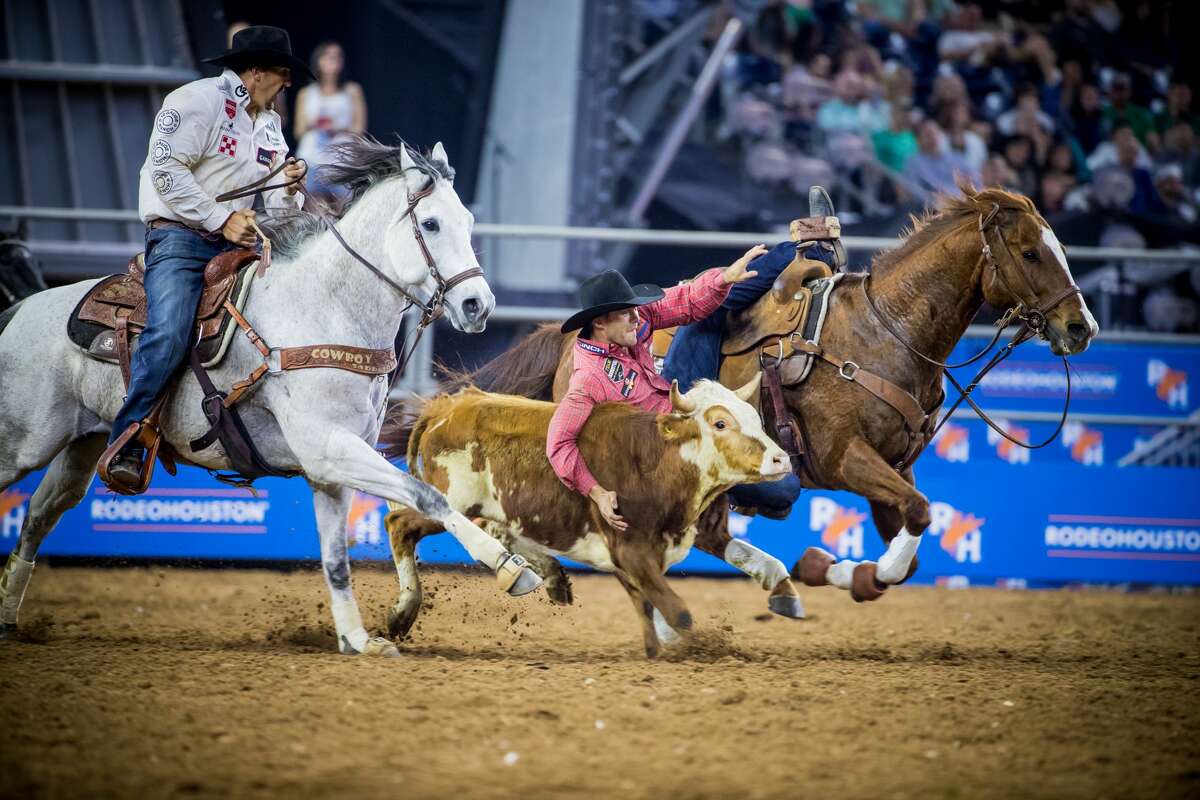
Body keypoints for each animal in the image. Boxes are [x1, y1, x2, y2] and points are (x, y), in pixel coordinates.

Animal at [376, 184, 1099, 609]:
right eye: (1031, 252)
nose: (1081, 327)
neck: (883, 332)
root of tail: (567, 337)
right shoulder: (847, 460)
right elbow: (920, 517)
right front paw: (834, 569)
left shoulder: (894, 467)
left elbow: (911, 541)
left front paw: (840, 571)